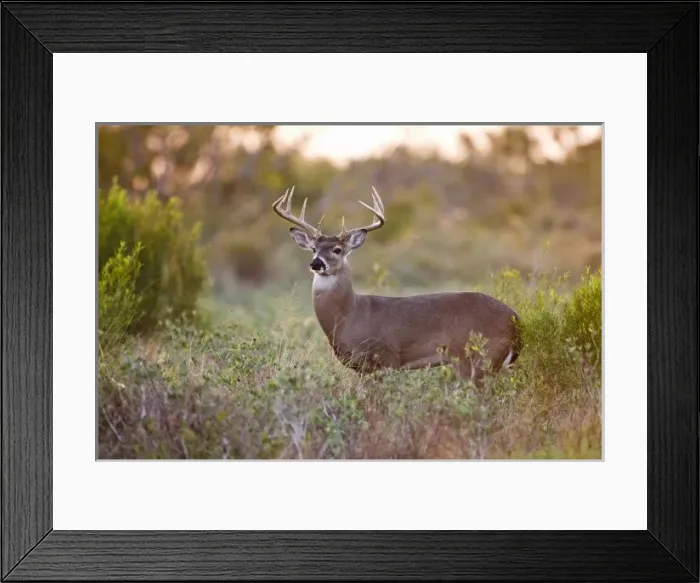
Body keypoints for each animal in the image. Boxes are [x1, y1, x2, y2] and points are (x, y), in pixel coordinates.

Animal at [272, 186, 523, 383]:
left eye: (337, 249)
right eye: (314, 248)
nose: (316, 263)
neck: (350, 315)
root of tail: (516, 321)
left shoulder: (386, 359)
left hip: (477, 358)